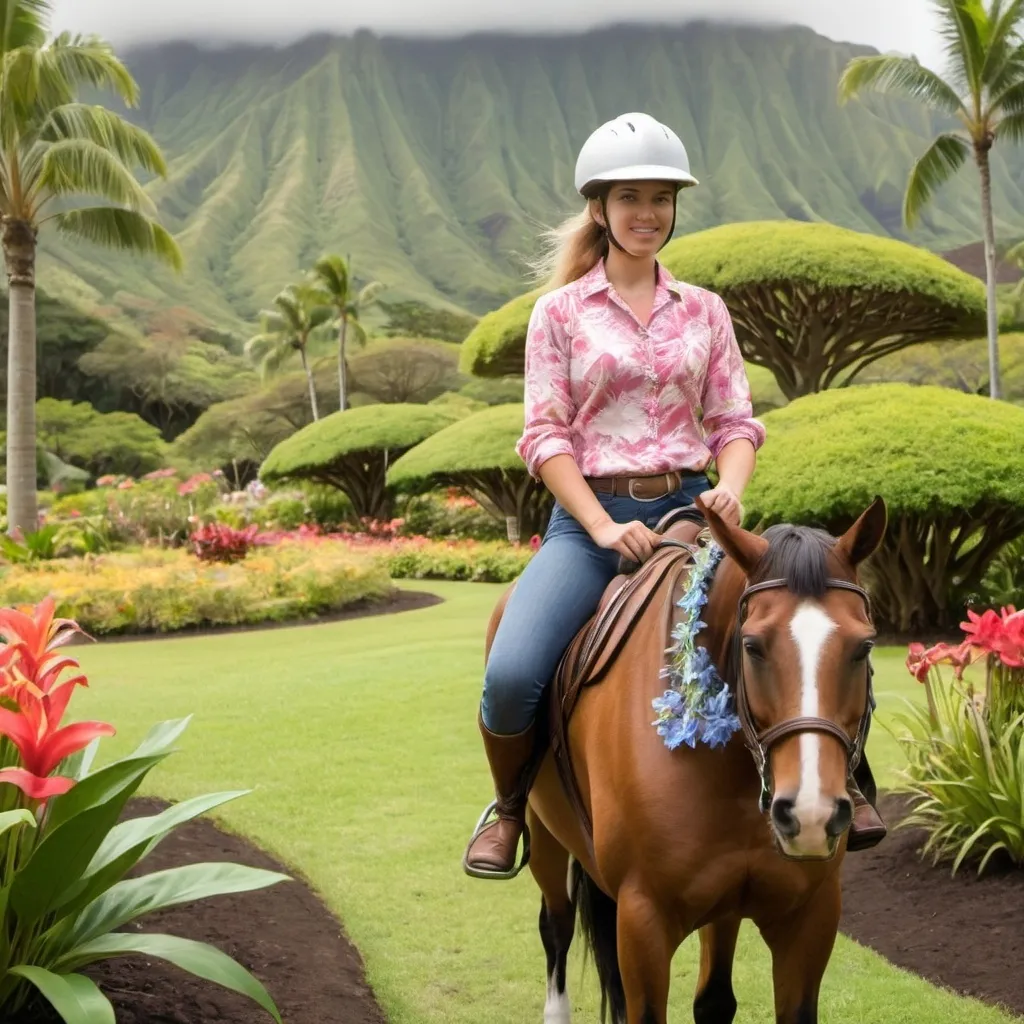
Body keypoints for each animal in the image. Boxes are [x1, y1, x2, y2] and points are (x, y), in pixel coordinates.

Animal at [483, 491, 884, 1019]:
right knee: (556, 925)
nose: (810, 813)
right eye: (752, 646)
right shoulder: (644, 919)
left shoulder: (810, 917)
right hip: (544, 828)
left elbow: (719, 1002)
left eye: (864, 646)